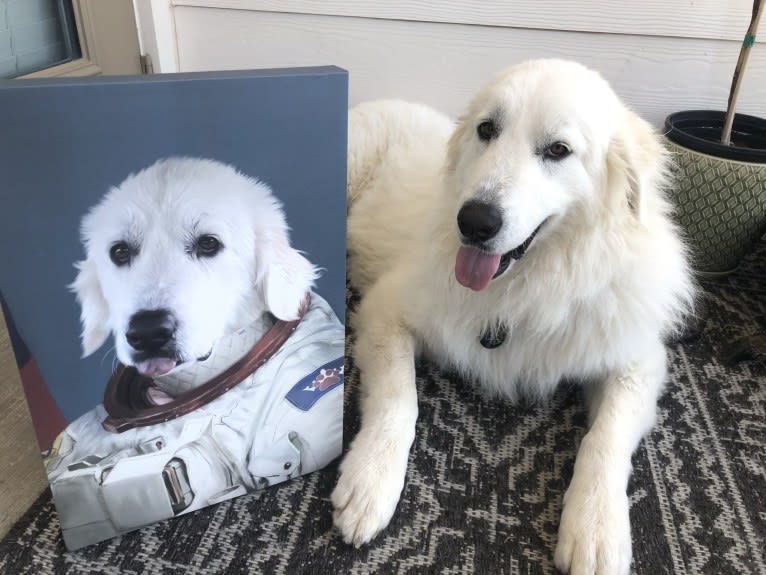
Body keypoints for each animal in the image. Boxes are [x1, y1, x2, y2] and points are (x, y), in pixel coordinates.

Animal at [332, 59, 692, 575]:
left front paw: (596, 528)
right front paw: (370, 482)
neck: (531, 283)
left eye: (558, 150)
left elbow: (604, 438)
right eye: (488, 130)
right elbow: (399, 400)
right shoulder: (386, 311)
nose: (474, 222)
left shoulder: (636, 361)